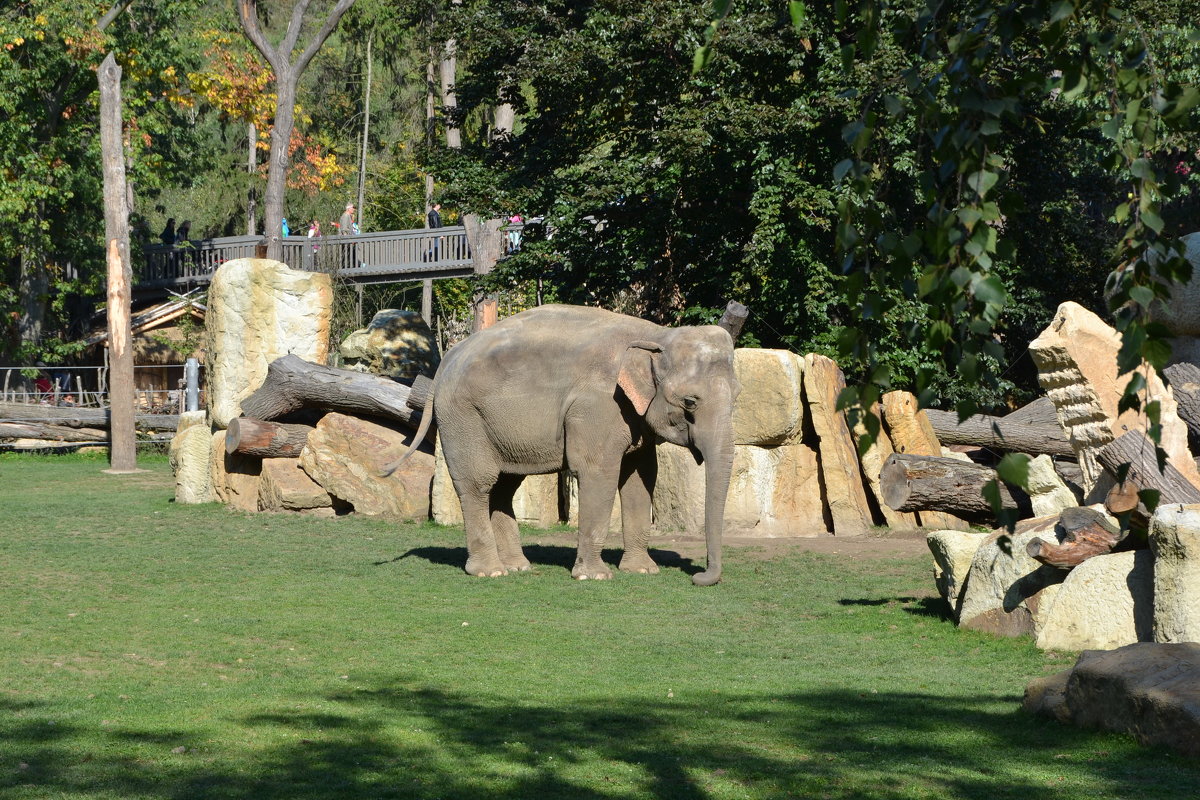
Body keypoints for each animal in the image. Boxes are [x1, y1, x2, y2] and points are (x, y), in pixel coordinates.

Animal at [388, 303, 734, 585]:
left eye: (738, 395)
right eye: (690, 402)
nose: (699, 576)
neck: (656, 334)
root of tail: (447, 358)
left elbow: (641, 477)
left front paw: (642, 571)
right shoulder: (599, 406)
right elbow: (598, 474)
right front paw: (594, 577)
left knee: (504, 486)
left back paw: (518, 567)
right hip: (462, 417)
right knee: (479, 482)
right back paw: (491, 572)